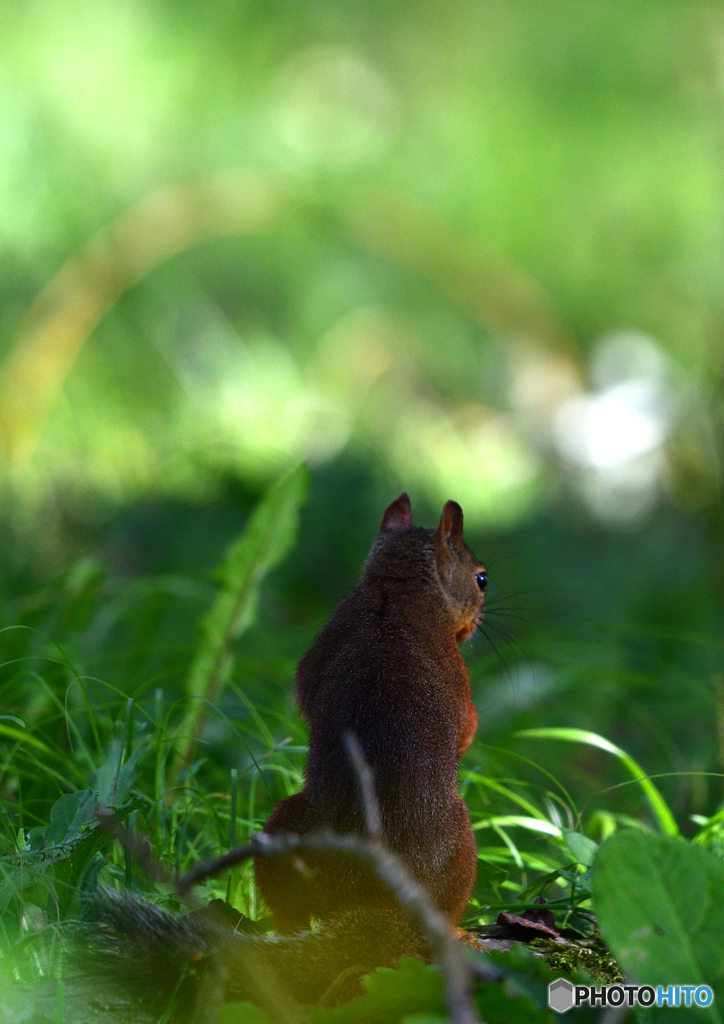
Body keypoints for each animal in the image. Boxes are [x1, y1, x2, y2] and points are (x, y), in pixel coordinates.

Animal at [77, 493, 487, 1015]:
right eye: (481, 578)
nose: (477, 623)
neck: (393, 592)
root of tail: (378, 898)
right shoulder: (459, 681)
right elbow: (466, 725)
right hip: (463, 845)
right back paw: (456, 933)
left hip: (282, 832)